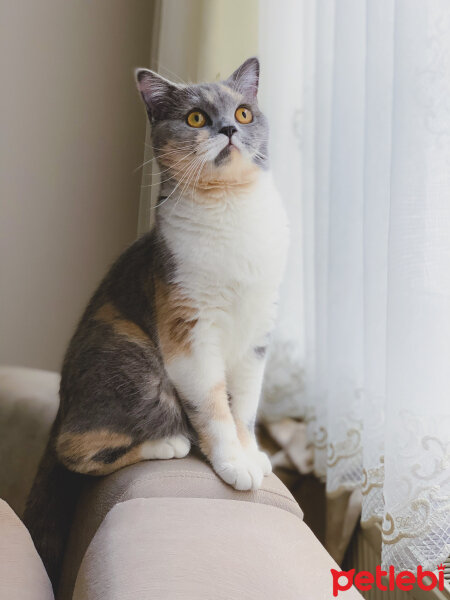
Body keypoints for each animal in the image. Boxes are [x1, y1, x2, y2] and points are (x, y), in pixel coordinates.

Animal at [23, 58, 288, 588]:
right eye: (195, 119)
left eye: (243, 113)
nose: (228, 129)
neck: (230, 209)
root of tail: (62, 403)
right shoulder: (189, 331)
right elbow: (215, 407)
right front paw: (233, 463)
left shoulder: (257, 335)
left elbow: (245, 407)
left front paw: (251, 452)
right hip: (136, 358)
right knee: (73, 447)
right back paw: (168, 443)